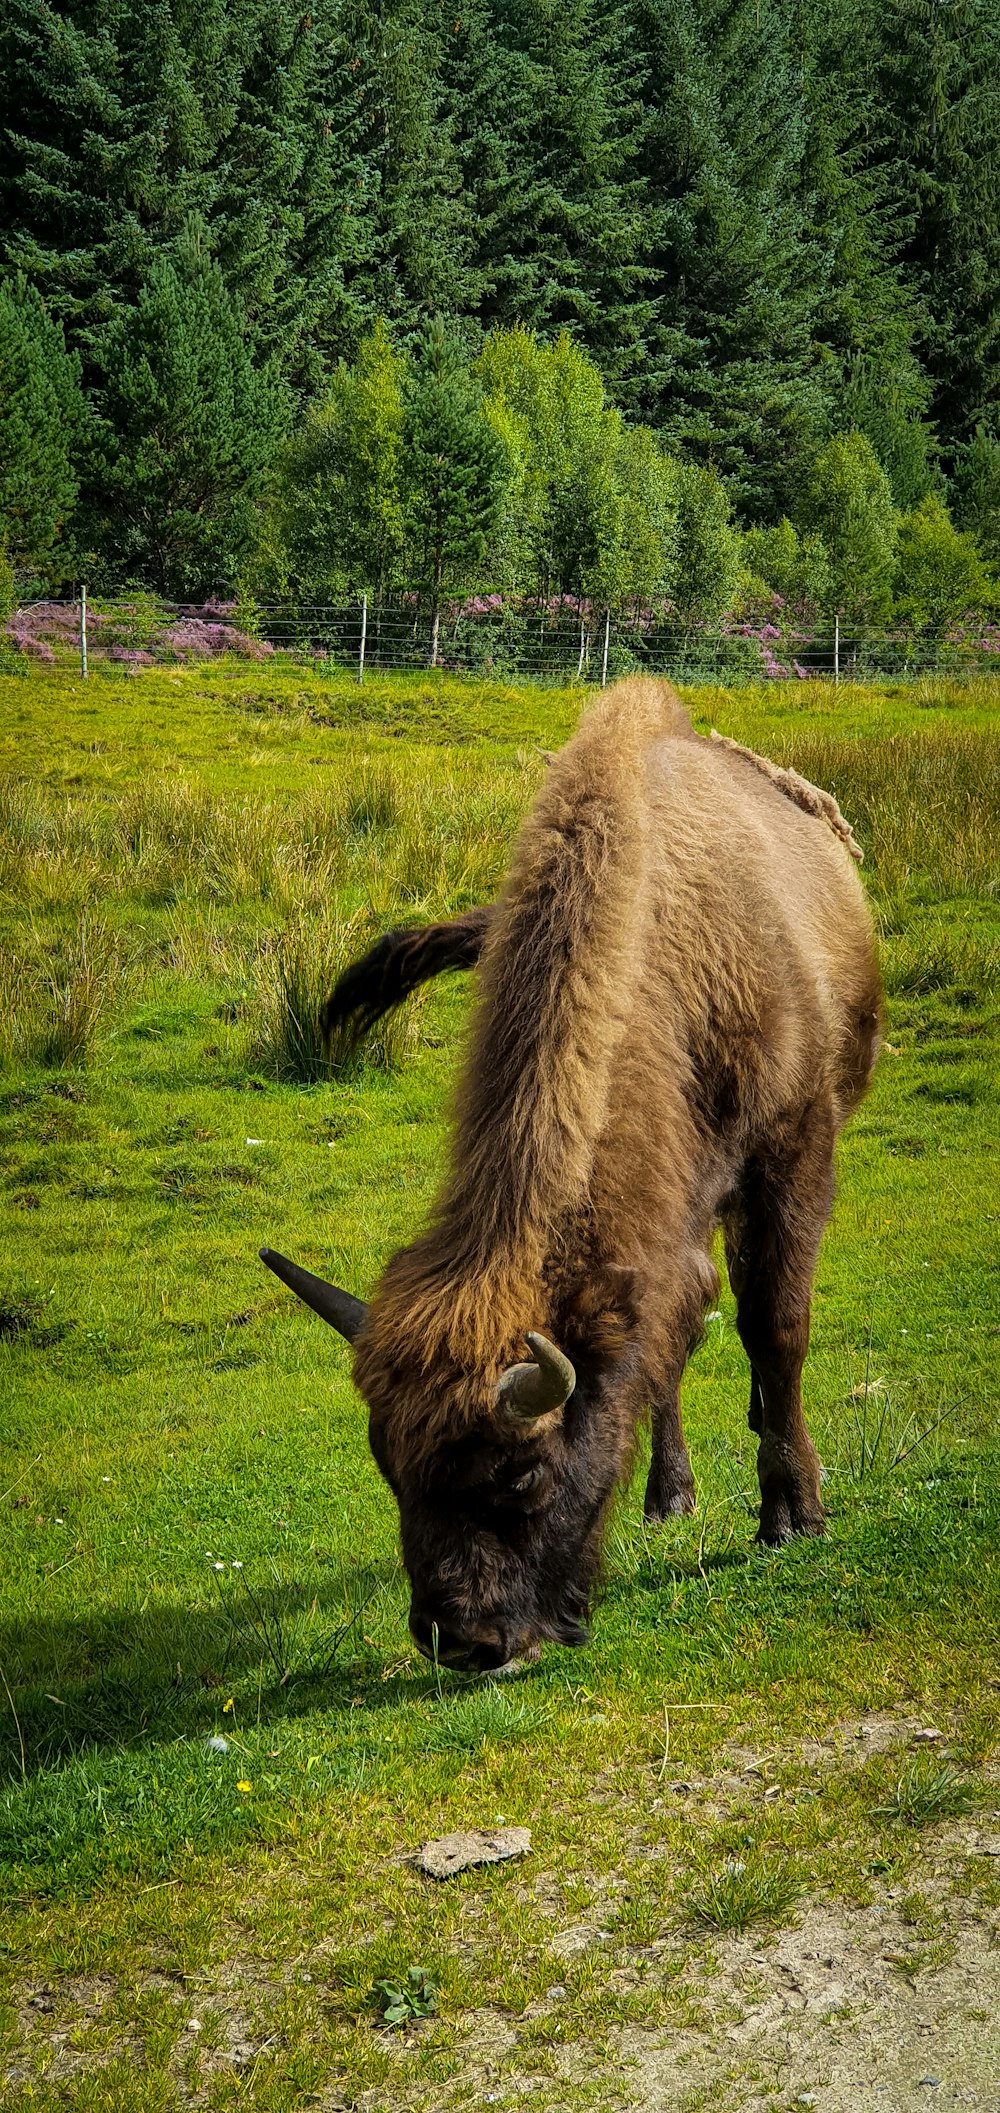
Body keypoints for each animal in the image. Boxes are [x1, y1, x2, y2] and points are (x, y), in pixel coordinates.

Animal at [258, 676, 879, 1665]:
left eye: (518, 1474)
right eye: (389, 1468)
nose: (465, 1641)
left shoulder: (794, 1151)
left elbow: (777, 1325)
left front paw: (795, 1513)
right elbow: (676, 1335)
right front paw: (691, 1493)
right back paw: (670, 1494)